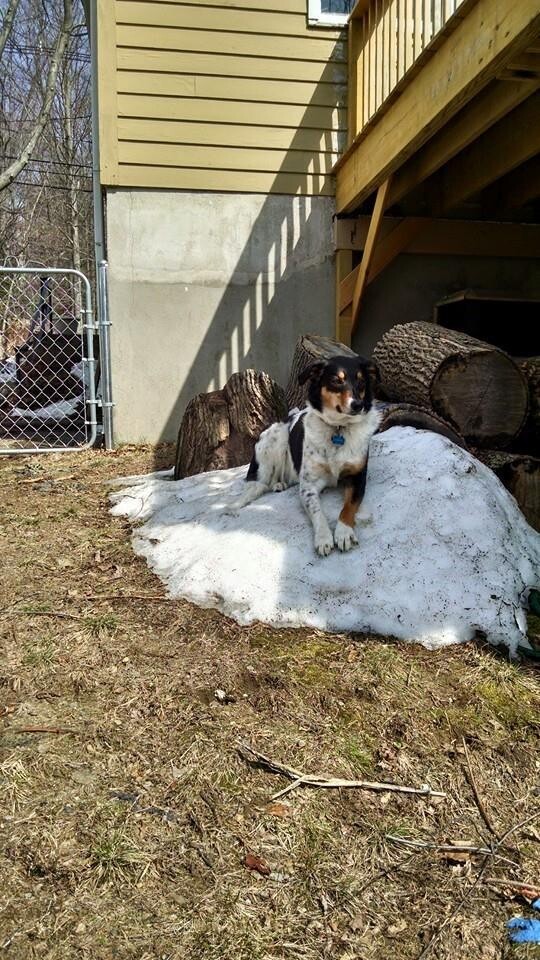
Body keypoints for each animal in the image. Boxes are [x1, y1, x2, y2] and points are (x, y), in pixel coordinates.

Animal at [230, 356, 382, 560]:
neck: (338, 429)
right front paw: (324, 537)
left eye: (362, 381)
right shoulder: (309, 486)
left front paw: (343, 532)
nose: (358, 405)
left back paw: (281, 484)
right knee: (262, 483)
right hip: (276, 438)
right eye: (336, 380)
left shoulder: (357, 477)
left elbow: (349, 506)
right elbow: (317, 512)